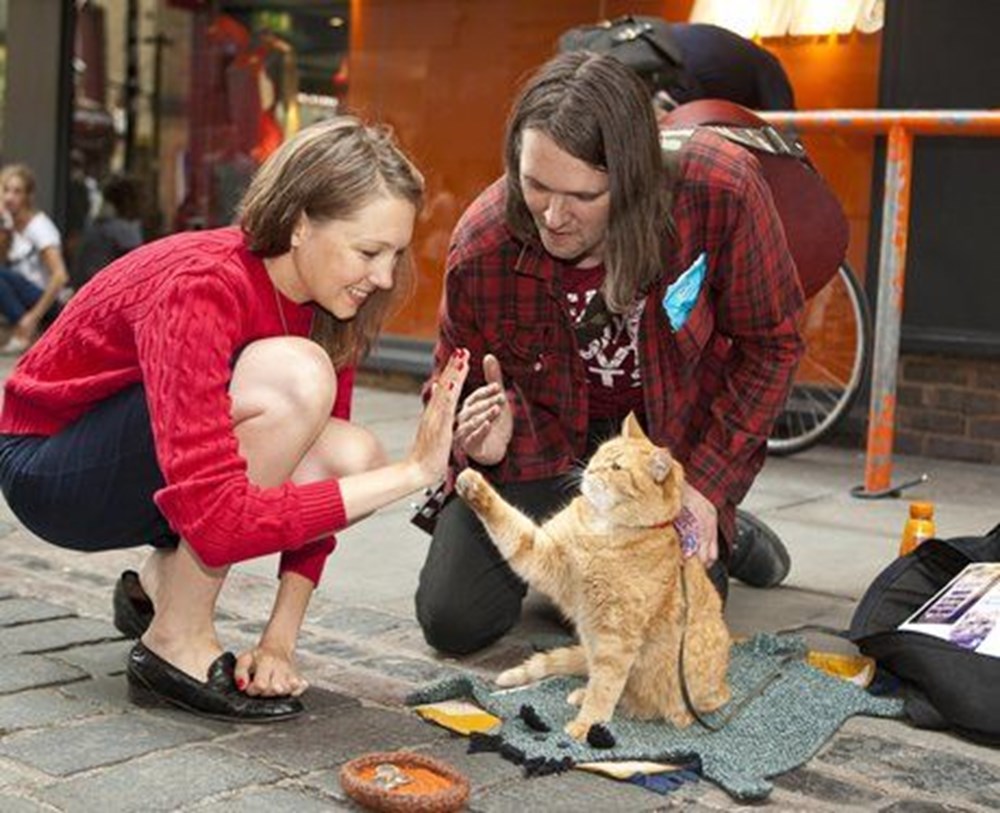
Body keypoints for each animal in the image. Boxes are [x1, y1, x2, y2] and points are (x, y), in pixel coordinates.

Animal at [458, 416, 732, 740]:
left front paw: (587, 724)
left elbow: (605, 687)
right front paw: (474, 487)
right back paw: (583, 694)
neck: (600, 528)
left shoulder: (617, 637)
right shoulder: (543, 556)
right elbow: (509, 524)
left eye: (617, 468)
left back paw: (679, 714)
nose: (589, 470)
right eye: (599, 454)